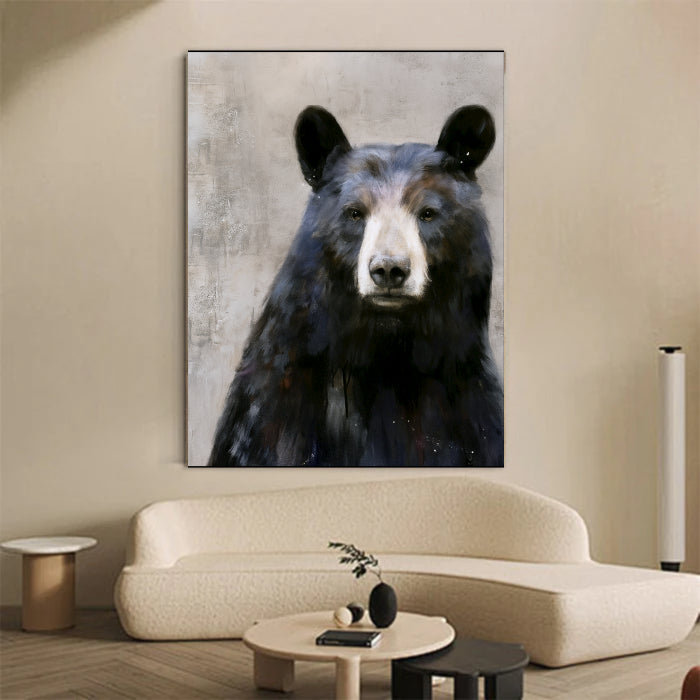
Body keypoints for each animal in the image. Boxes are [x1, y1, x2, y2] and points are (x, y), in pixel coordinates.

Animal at [208, 105, 503, 467]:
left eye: (428, 213)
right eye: (354, 213)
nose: (389, 269)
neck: (386, 350)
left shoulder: (465, 400)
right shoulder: (275, 408)